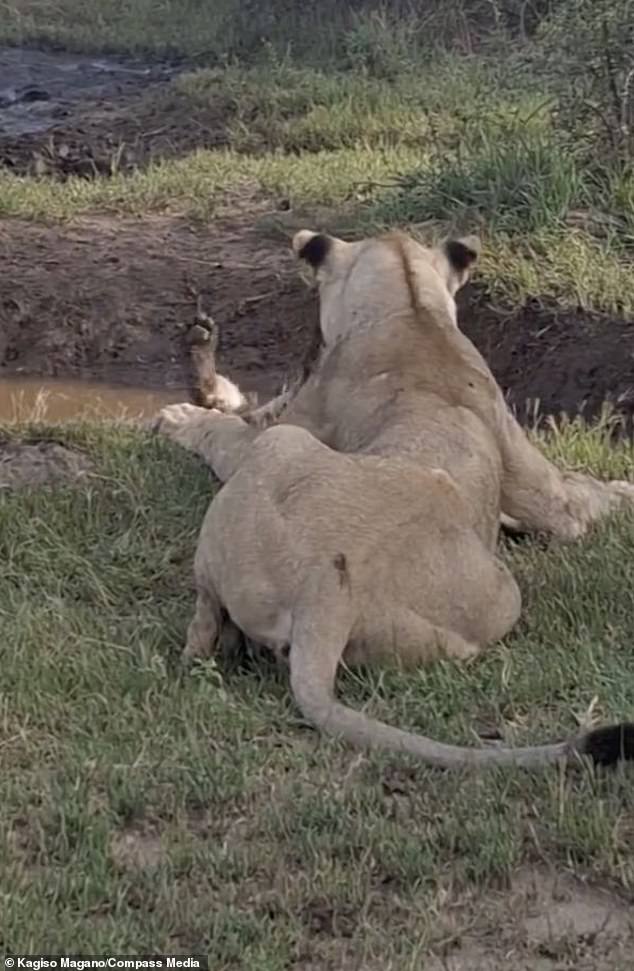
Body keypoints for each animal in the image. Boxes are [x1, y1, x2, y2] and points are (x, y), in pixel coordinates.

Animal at [157, 226, 632, 768]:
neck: (411, 309)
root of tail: (326, 592)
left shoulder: (276, 427)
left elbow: (224, 428)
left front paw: (178, 417)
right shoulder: (543, 492)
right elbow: (579, 497)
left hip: (283, 447)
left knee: (202, 631)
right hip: (496, 603)